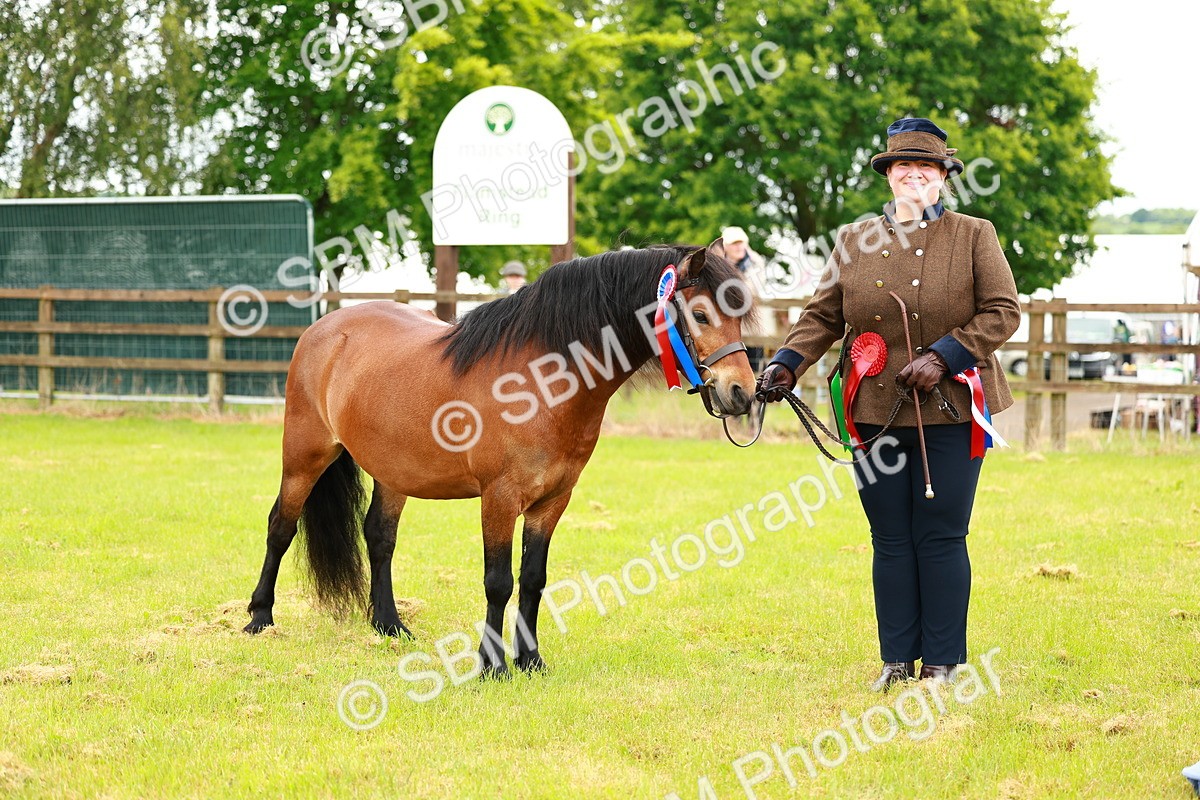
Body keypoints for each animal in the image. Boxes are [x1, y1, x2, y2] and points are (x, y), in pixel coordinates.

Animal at [242, 240, 757, 677]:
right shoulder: (499, 498)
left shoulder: (552, 501)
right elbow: (498, 581)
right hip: (304, 456)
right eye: (700, 314)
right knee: (280, 526)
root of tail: (325, 327)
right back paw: (259, 617)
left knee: (380, 537)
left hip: (395, 472)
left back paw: (389, 624)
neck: (540, 382)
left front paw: (530, 660)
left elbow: (532, 580)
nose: (742, 392)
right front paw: (492, 665)